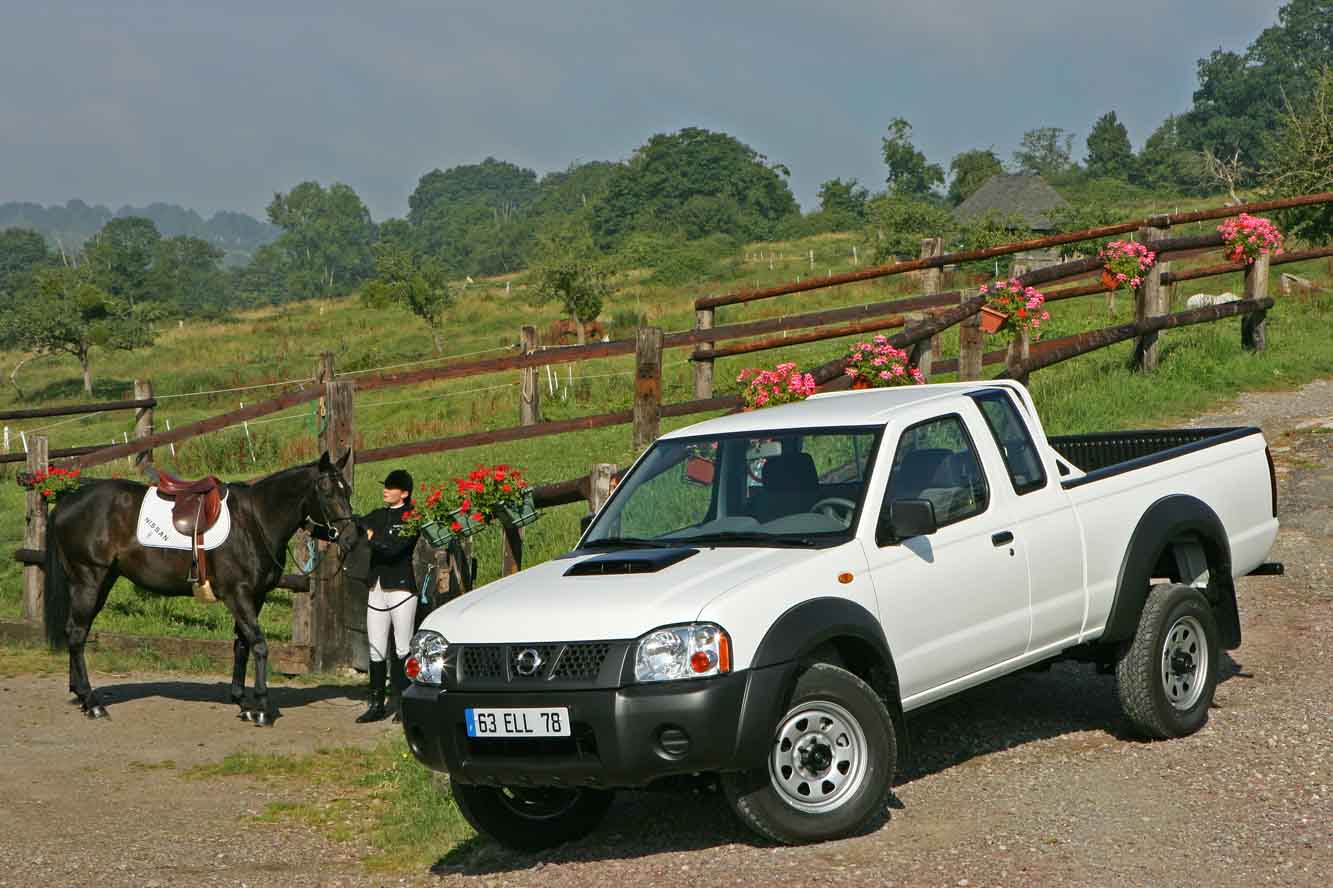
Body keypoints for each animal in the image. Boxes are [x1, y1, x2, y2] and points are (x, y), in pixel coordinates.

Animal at [42, 453, 354, 725]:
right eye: (327, 491)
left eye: (348, 490)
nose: (351, 538)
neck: (254, 522)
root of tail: (66, 502)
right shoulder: (238, 595)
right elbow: (259, 644)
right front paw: (263, 707)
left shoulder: (255, 596)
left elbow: (242, 645)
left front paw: (243, 702)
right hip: (89, 579)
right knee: (77, 633)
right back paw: (92, 702)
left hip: (102, 581)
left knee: (76, 632)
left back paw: (81, 695)